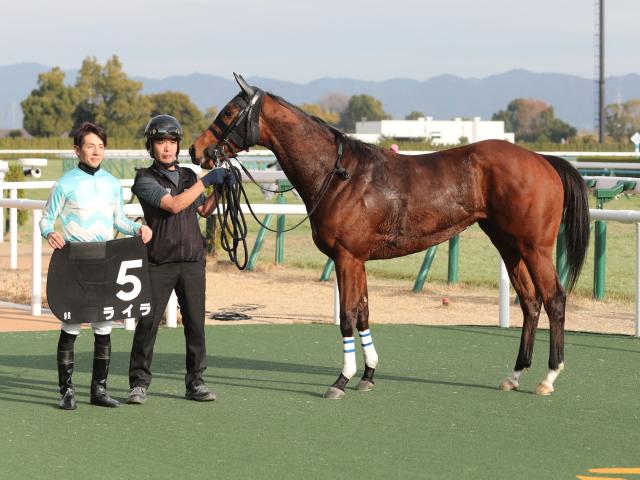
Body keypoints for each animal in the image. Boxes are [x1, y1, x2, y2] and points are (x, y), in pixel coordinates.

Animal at [190, 73, 592, 400]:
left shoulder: (347, 257)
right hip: (508, 245)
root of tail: (543, 160)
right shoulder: (359, 260)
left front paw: (342, 380)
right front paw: (368, 375)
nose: (197, 150)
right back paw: (515, 374)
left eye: (229, 111)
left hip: (534, 248)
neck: (339, 174)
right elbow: (364, 313)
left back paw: (548, 377)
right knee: (530, 302)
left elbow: (348, 316)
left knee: (554, 299)